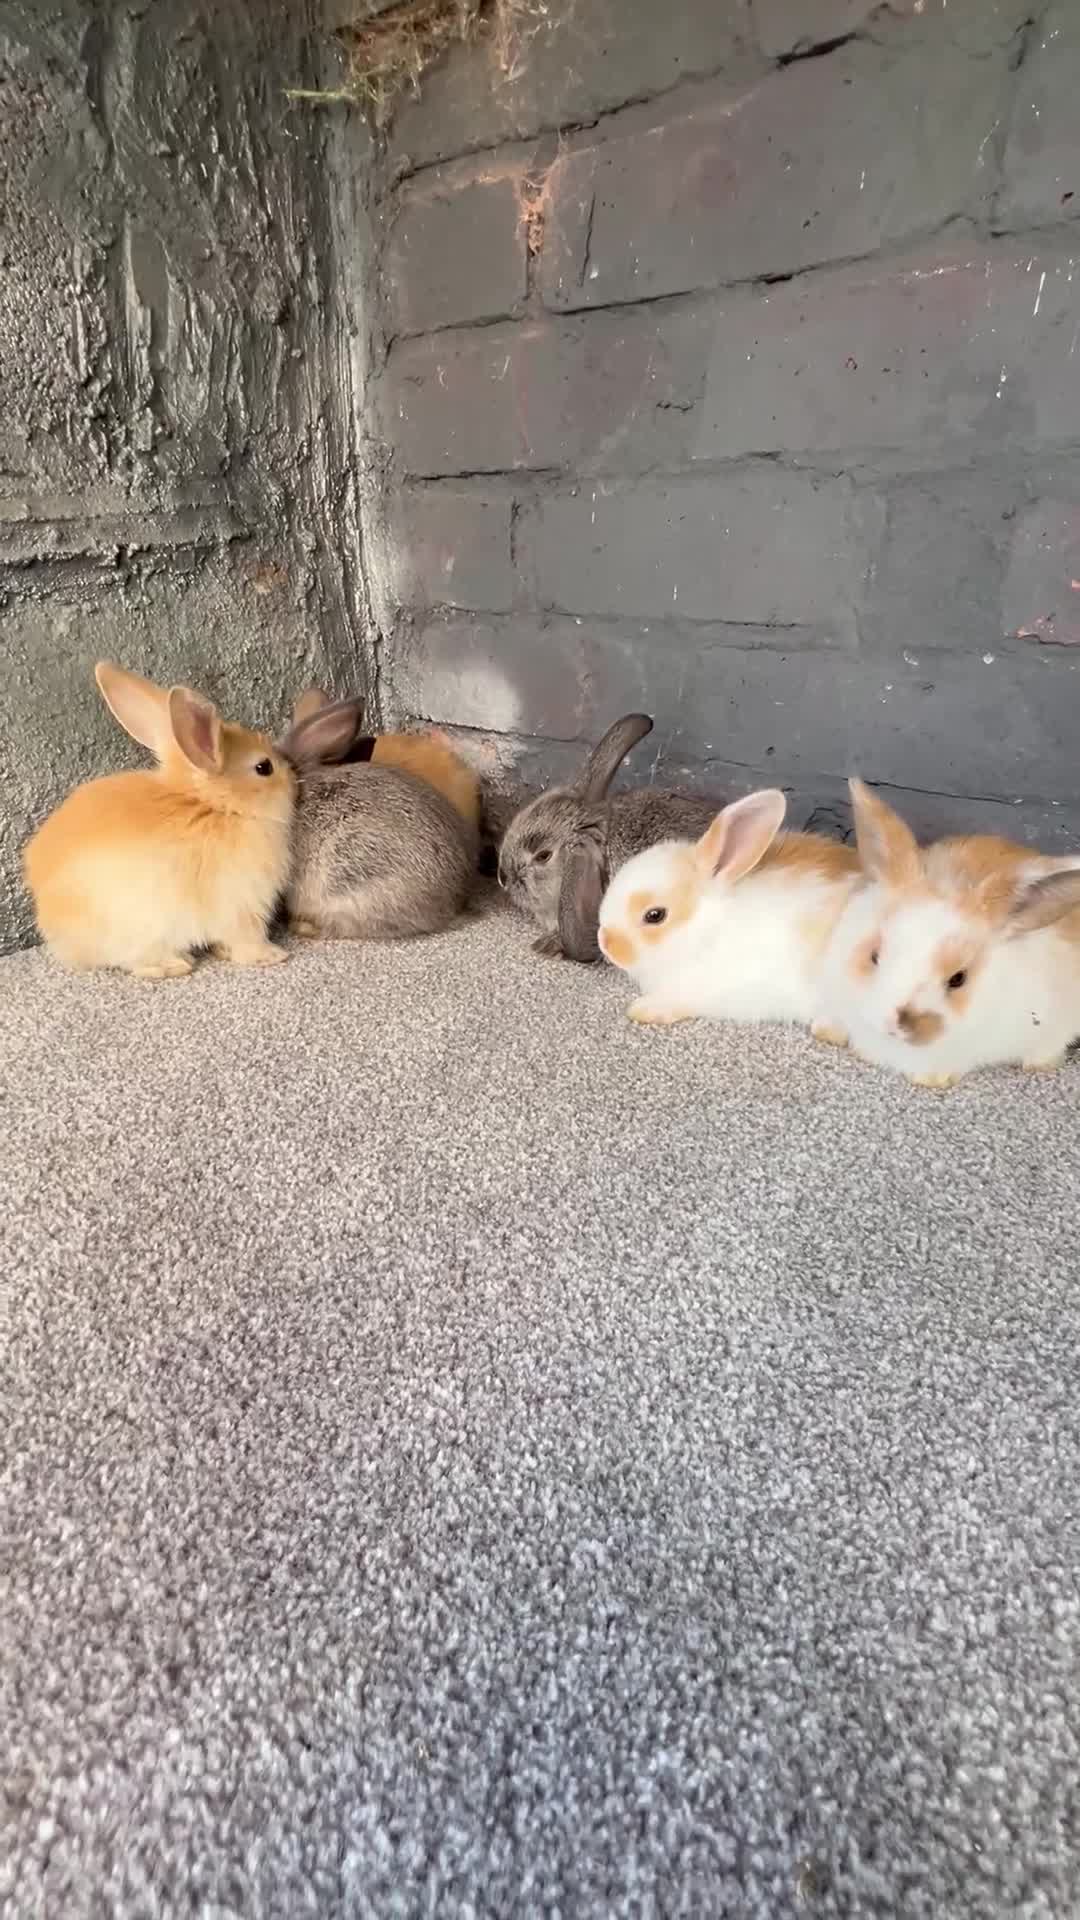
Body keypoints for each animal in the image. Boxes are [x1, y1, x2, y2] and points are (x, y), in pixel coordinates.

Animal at [23, 662, 295, 978]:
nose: (294, 779)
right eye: (264, 767)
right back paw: (176, 965)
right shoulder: (243, 906)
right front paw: (273, 955)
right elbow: (247, 940)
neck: (219, 806)